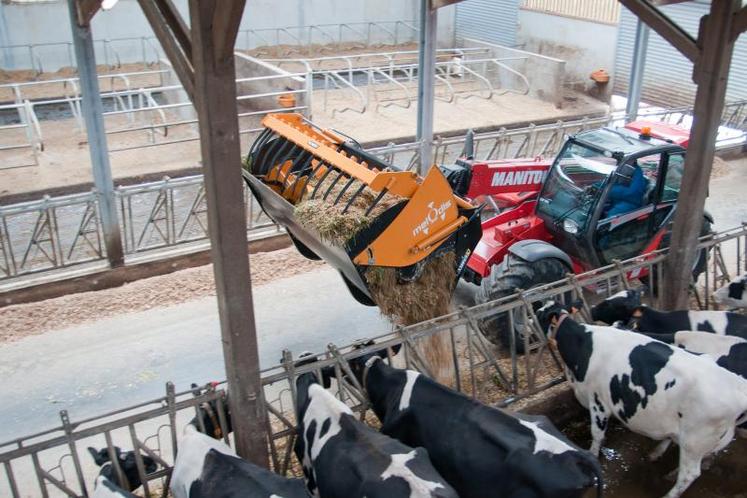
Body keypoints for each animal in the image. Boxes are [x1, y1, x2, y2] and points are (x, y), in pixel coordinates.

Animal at [536, 302, 747, 498]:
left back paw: (669, 493)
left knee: (690, 474)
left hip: (695, 440)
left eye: (540, 315)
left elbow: (596, 434)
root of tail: (738, 386)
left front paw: (593, 454)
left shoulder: (597, 401)